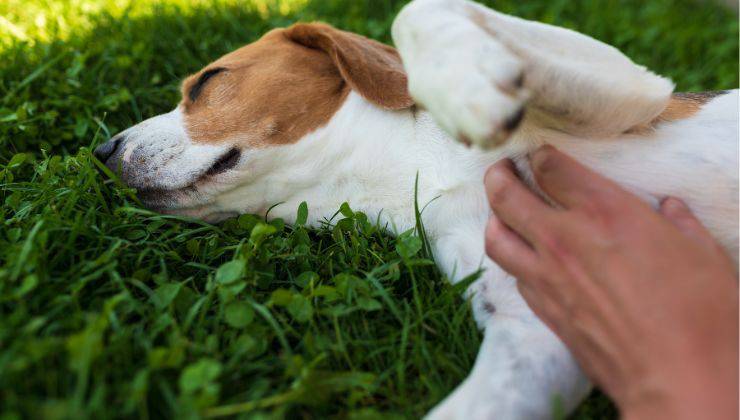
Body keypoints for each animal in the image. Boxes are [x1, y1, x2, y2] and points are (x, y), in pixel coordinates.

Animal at [92, 1, 736, 418]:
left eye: (207, 81)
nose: (102, 152)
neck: (408, 173)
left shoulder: (634, 88)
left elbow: (419, 10)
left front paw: (467, 85)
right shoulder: (535, 335)